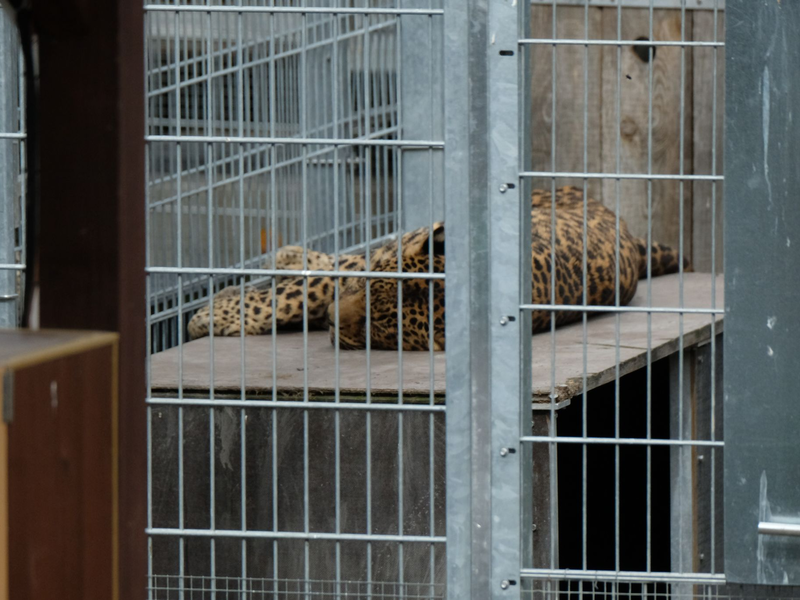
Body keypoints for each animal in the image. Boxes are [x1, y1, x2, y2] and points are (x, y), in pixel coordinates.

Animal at [186, 186, 687, 351]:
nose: (331, 321)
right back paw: (289, 255)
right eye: (371, 293)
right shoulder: (367, 266)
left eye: (380, 325)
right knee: (337, 258)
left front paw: (207, 317)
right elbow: (300, 291)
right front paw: (210, 316)